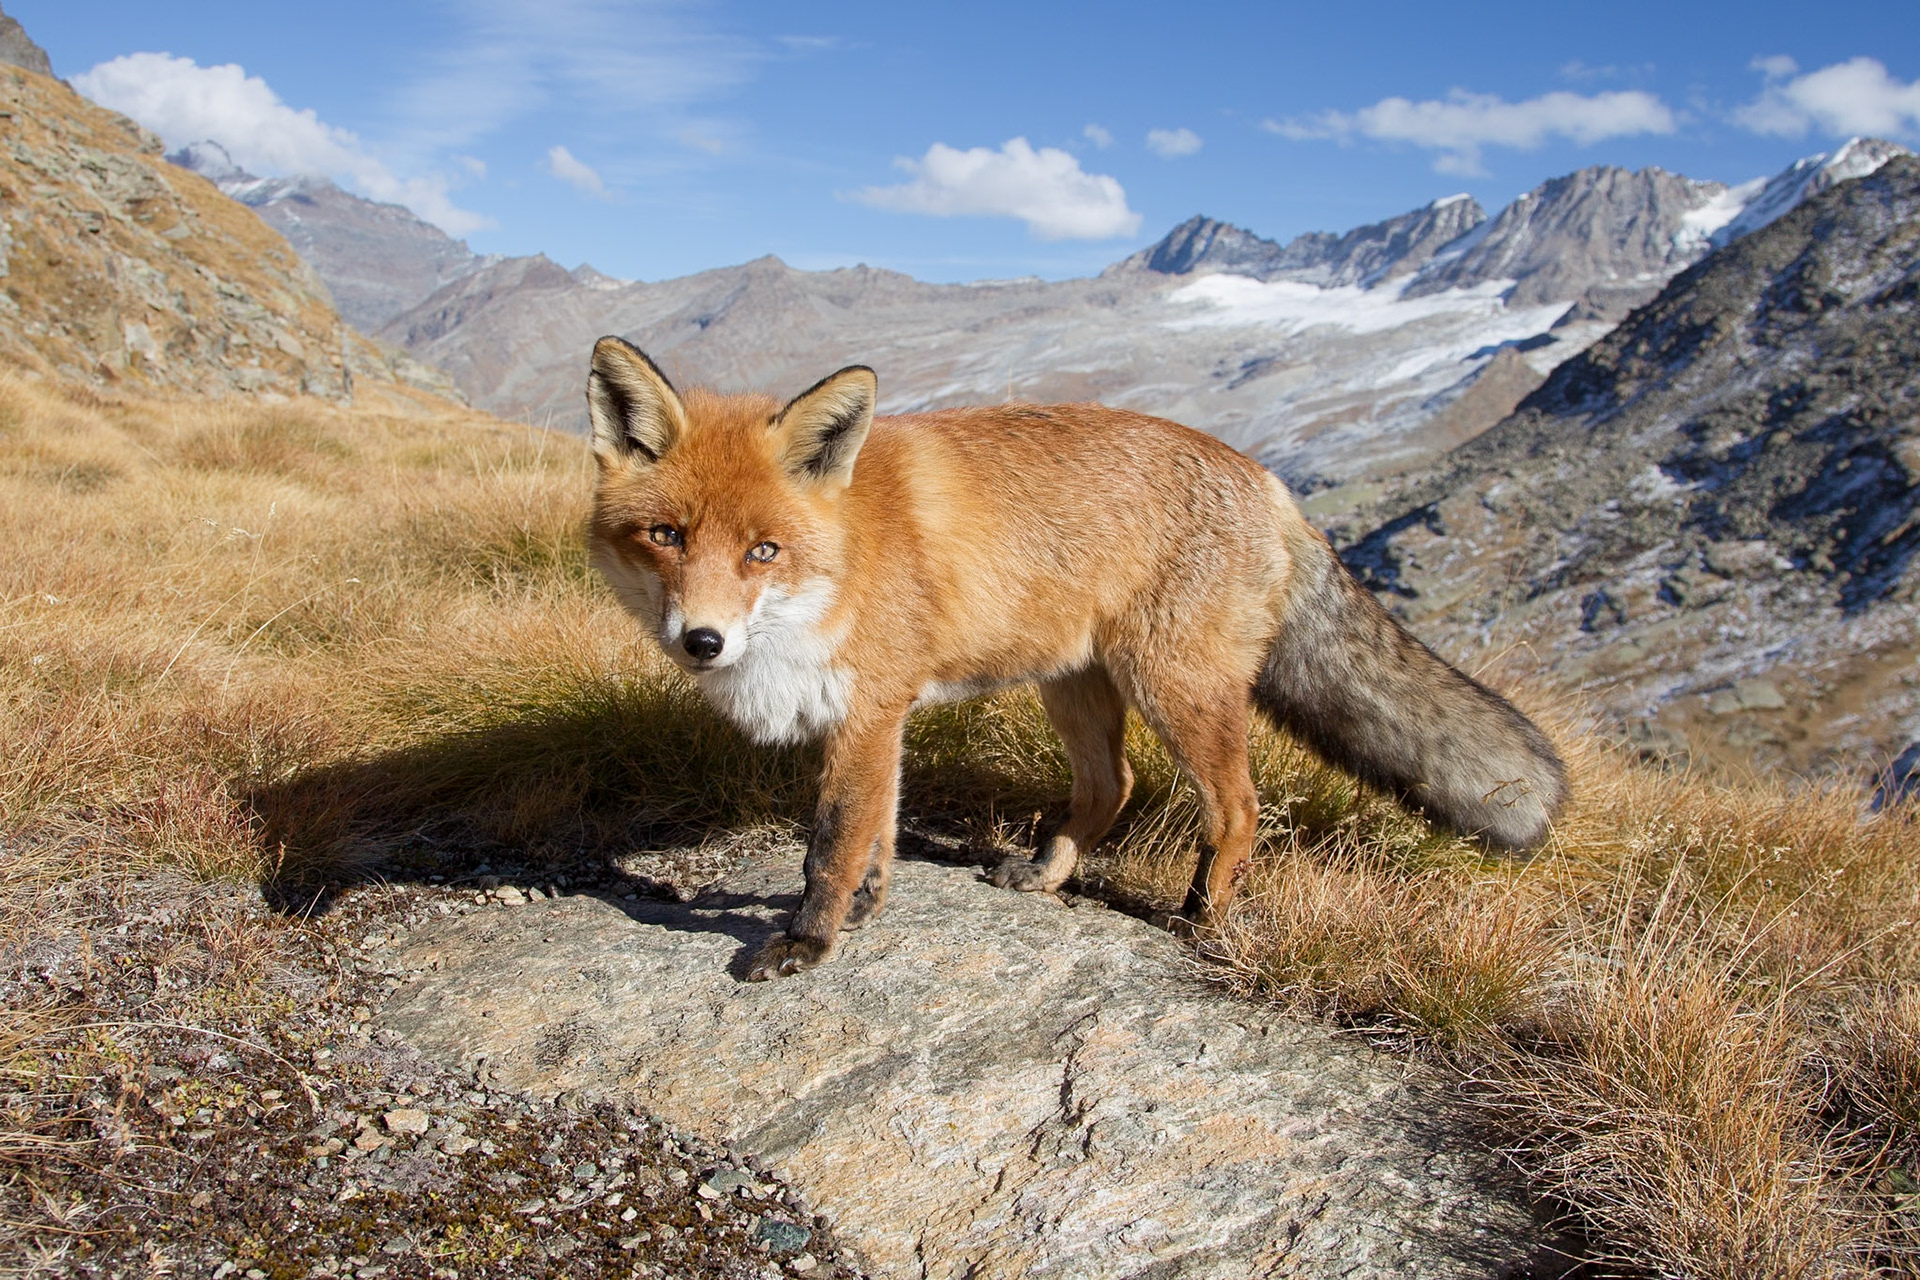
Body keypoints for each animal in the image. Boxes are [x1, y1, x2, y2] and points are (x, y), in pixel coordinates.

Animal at [584, 336, 1567, 981]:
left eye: (764, 551)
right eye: (666, 537)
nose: (702, 641)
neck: (844, 559)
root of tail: (1269, 481)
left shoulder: (867, 711)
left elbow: (831, 844)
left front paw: (810, 942)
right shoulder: (880, 717)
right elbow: (879, 835)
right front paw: (867, 909)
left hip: (1174, 688)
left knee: (1237, 807)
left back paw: (1204, 916)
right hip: (1077, 687)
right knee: (1114, 787)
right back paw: (1048, 874)